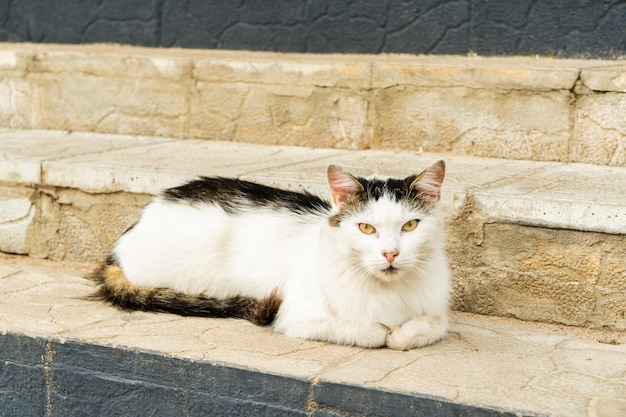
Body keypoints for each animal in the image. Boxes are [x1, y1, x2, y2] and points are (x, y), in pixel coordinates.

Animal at [89, 161, 448, 350]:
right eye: (366, 228)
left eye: (410, 226)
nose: (390, 253)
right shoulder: (298, 316)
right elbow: (370, 332)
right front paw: (385, 331)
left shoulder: (435, 309)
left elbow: (434, 325)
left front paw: (402, 334)